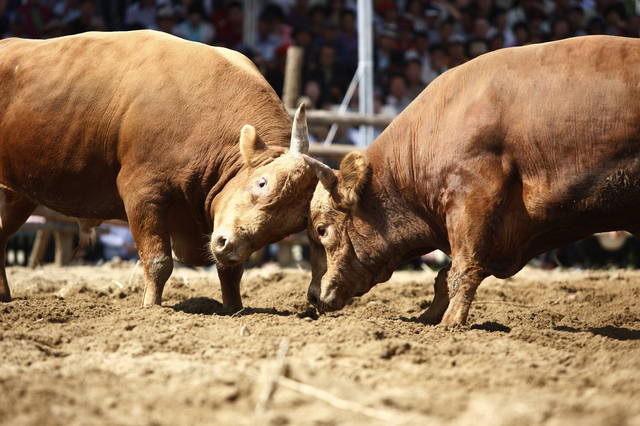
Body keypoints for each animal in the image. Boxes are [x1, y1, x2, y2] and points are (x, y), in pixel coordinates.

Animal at [0, 30, 318, 310]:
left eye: (286, 228)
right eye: (262, 183)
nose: (230, 246)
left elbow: (230, 272)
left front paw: (234, 309)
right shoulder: (142, 194)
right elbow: (158, 262)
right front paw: (152, 309)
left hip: (19, 194)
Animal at [302, 35, 640, 326]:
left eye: (321, 229)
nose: (313, 296)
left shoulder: (473, 201)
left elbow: (463, 269)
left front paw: (450, 323)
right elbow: (447, 274)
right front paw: (427, 318)